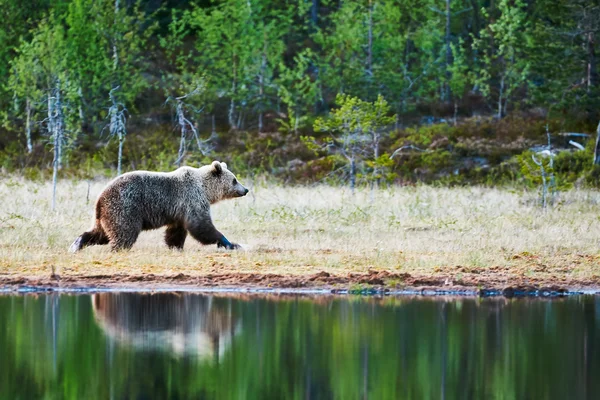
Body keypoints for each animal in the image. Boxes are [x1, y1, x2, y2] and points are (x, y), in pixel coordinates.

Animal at [69, 161, 247, 252]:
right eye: (235, 180)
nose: (245, 189)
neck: (206, 189)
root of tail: (99, 199)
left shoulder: (179, 210)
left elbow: (176, 231)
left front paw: (176, 247)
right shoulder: (192, 199)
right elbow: (201, 226)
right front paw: (232, 243)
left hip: (106, 215)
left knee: (100, 234)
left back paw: (77, 244)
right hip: (124, 207)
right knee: (124, 233)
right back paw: (119, 249)